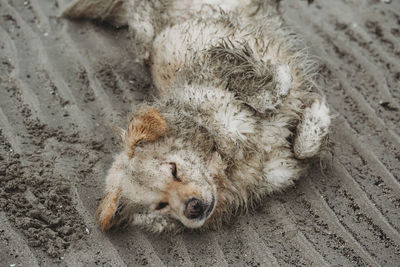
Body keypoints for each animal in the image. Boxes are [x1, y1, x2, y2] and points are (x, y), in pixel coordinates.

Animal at [63, 0, 332, 234]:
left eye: (173, 169)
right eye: (160, 205)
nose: (192, 208)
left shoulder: (212, 61)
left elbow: (273, 88)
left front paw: (308, 105)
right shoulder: (278, 171)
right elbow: (302, 151)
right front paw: (315, 116)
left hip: (145, 28)